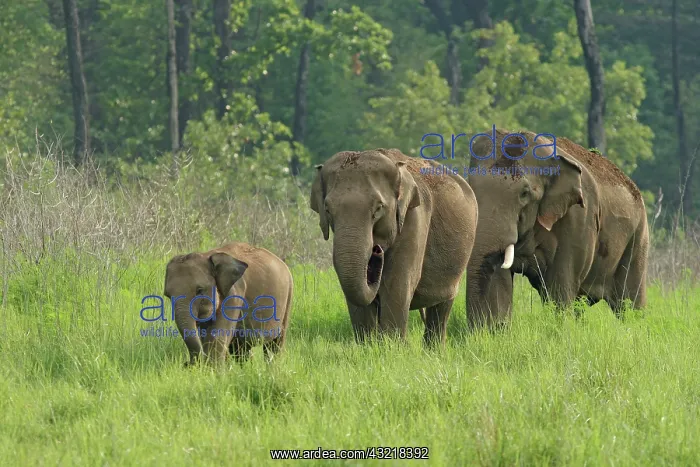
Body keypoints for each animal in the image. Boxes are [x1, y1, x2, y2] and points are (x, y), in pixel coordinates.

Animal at [163, 242, 293, 365]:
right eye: (168, 295)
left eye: (199, 290)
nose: (187, 363)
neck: (206, 256)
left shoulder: (234, 293)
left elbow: (218, 336)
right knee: (241, 348)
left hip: (288, 297)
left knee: (275, 344)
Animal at [310, 148, 478, 345]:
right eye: (328, 210)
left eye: (378, 209)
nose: (377, 251)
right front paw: (368, 346)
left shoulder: (415, 218)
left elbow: (397, 284)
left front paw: (392, 346)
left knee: (442, 306)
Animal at [465, 128, 649, 328]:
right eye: (470, 186)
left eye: (525, 193)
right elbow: (500, 278)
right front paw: (493, 330)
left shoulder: (578, 218)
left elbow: (560, 281)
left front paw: (561, 328)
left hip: (638, 236)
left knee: (629, 301)